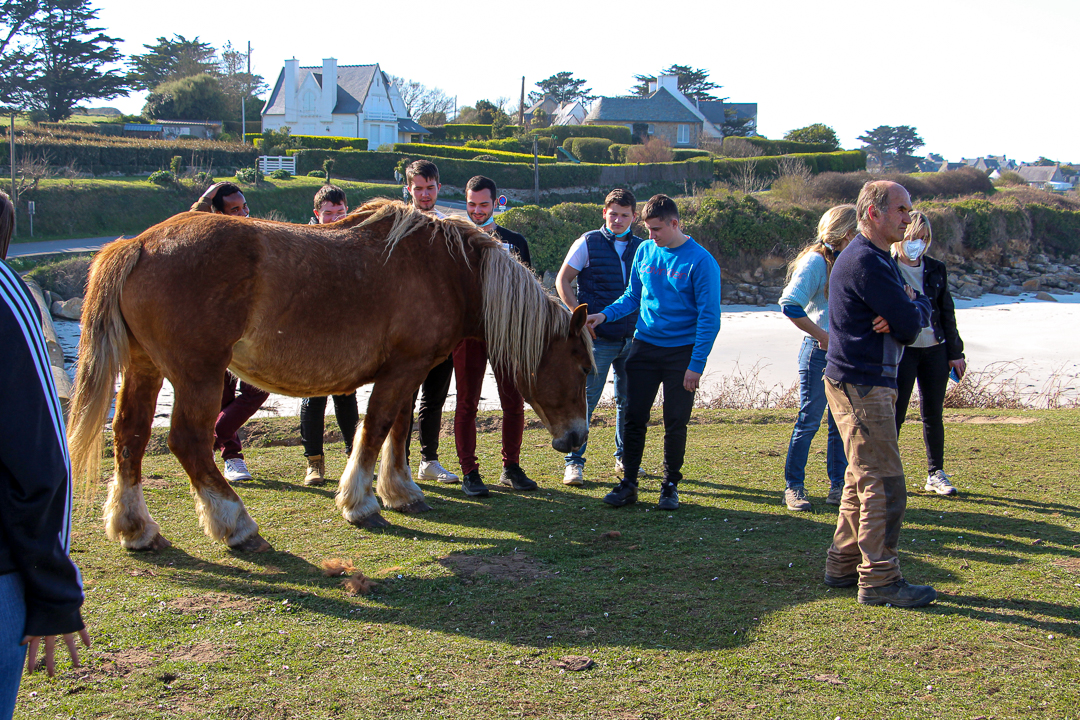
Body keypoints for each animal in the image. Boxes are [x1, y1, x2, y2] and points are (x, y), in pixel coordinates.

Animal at [67, 199, 596, 557]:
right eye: (583, 367)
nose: (576, 437)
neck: (449, 271)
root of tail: (137, 244)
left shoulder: (407, 369)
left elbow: (399, 429)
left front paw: (401, 492)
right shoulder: (402, 370)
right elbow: (376, 427)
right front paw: (360, 502)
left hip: (145, 368)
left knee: (130, 436)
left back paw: (135, 528)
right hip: (199, 375)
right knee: (188, 443)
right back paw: (236, 524)